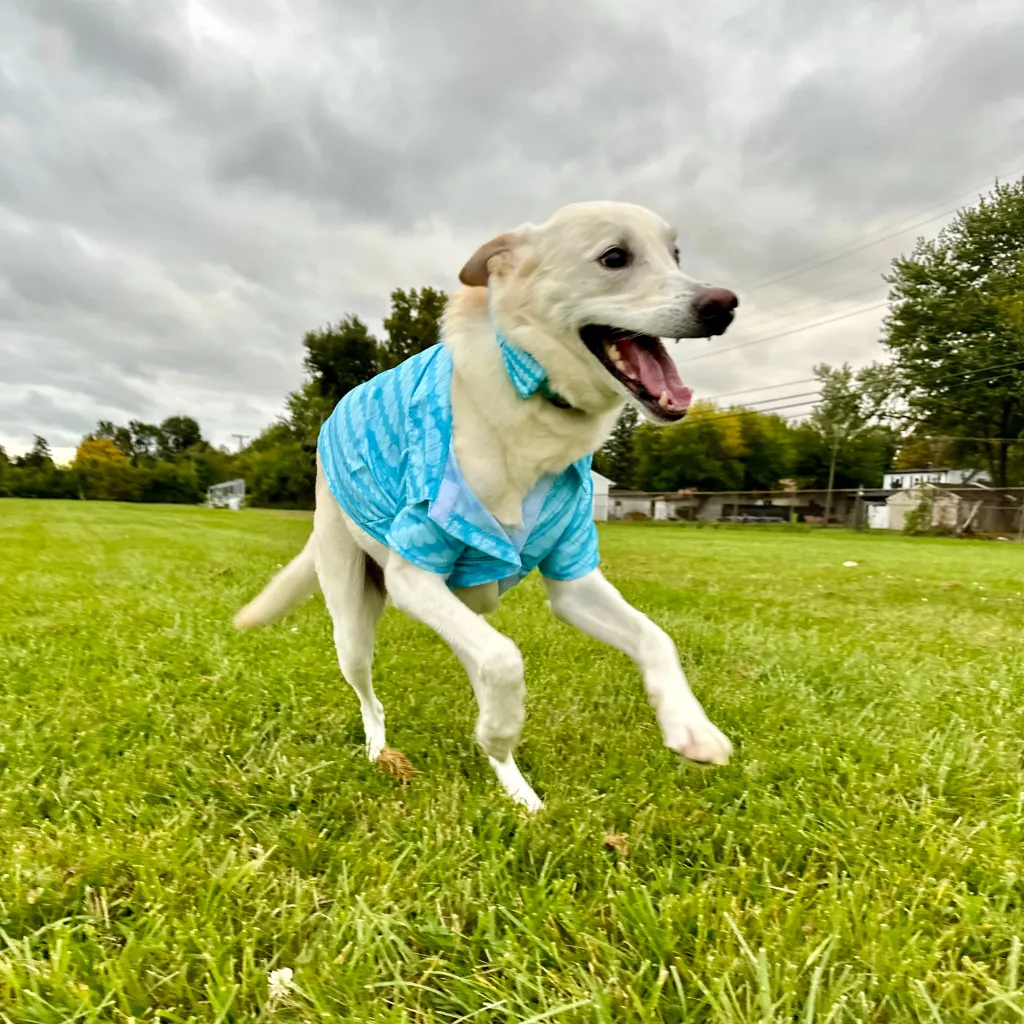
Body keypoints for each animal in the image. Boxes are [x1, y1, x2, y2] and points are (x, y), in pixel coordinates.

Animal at [235, 197, 741, 806]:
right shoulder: (413, 571)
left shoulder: (573, 580)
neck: (535, 400)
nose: (723, 303)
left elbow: (655, 636)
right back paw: (386, 752)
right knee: (375, 696)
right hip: (353, 621)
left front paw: (692, 728)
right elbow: (507, 659)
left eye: (676, 255)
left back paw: (519, 793)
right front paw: (499, 731)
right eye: (614, 257)